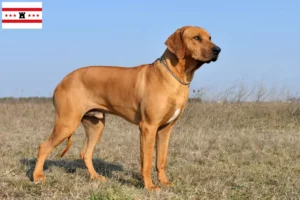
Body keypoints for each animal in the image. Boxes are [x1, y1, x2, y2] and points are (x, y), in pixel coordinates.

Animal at [32, 25, 220, 191]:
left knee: (86, 153)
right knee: (43, 147)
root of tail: (62, 81)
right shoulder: (148, 127)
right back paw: (37, 177)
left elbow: (161, 160)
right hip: (67, 123)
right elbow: (147, 162)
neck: (175, 76)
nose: (218, 50)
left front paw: (164, 182)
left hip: (96, 125)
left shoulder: (165, 129)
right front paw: (150, 186)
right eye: (197, 38)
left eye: (210, 37)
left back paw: (95, 177)